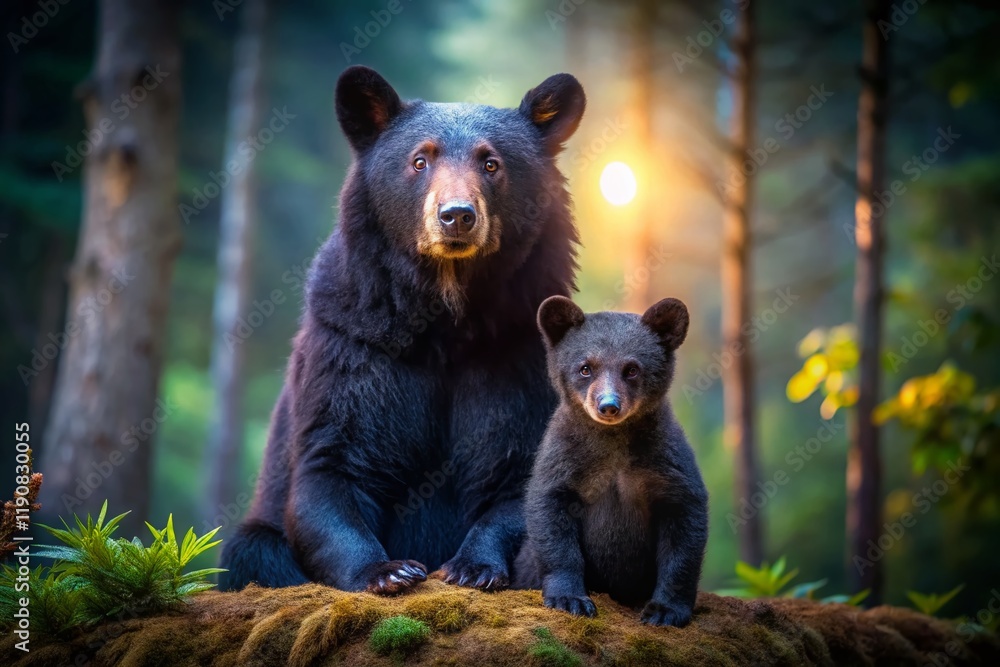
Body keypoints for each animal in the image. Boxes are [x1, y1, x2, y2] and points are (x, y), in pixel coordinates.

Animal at [219, 65, 586, 595]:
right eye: (419, 160)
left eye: (491, 163)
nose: (457, 216)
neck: (447, 318)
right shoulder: (356, 340)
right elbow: (335, 463)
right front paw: (389, 571)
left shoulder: (517, 347)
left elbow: (521, 468)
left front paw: (473, 566)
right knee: (253, 549)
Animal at [513, 296, 709, 627]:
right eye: (585, 368)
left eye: (631, 369)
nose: (608, 405)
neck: (614, 442)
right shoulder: (564, 459)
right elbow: (551, 519)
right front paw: (570, 599)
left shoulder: (666, 462)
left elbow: (684, 526)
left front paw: (664, 611)